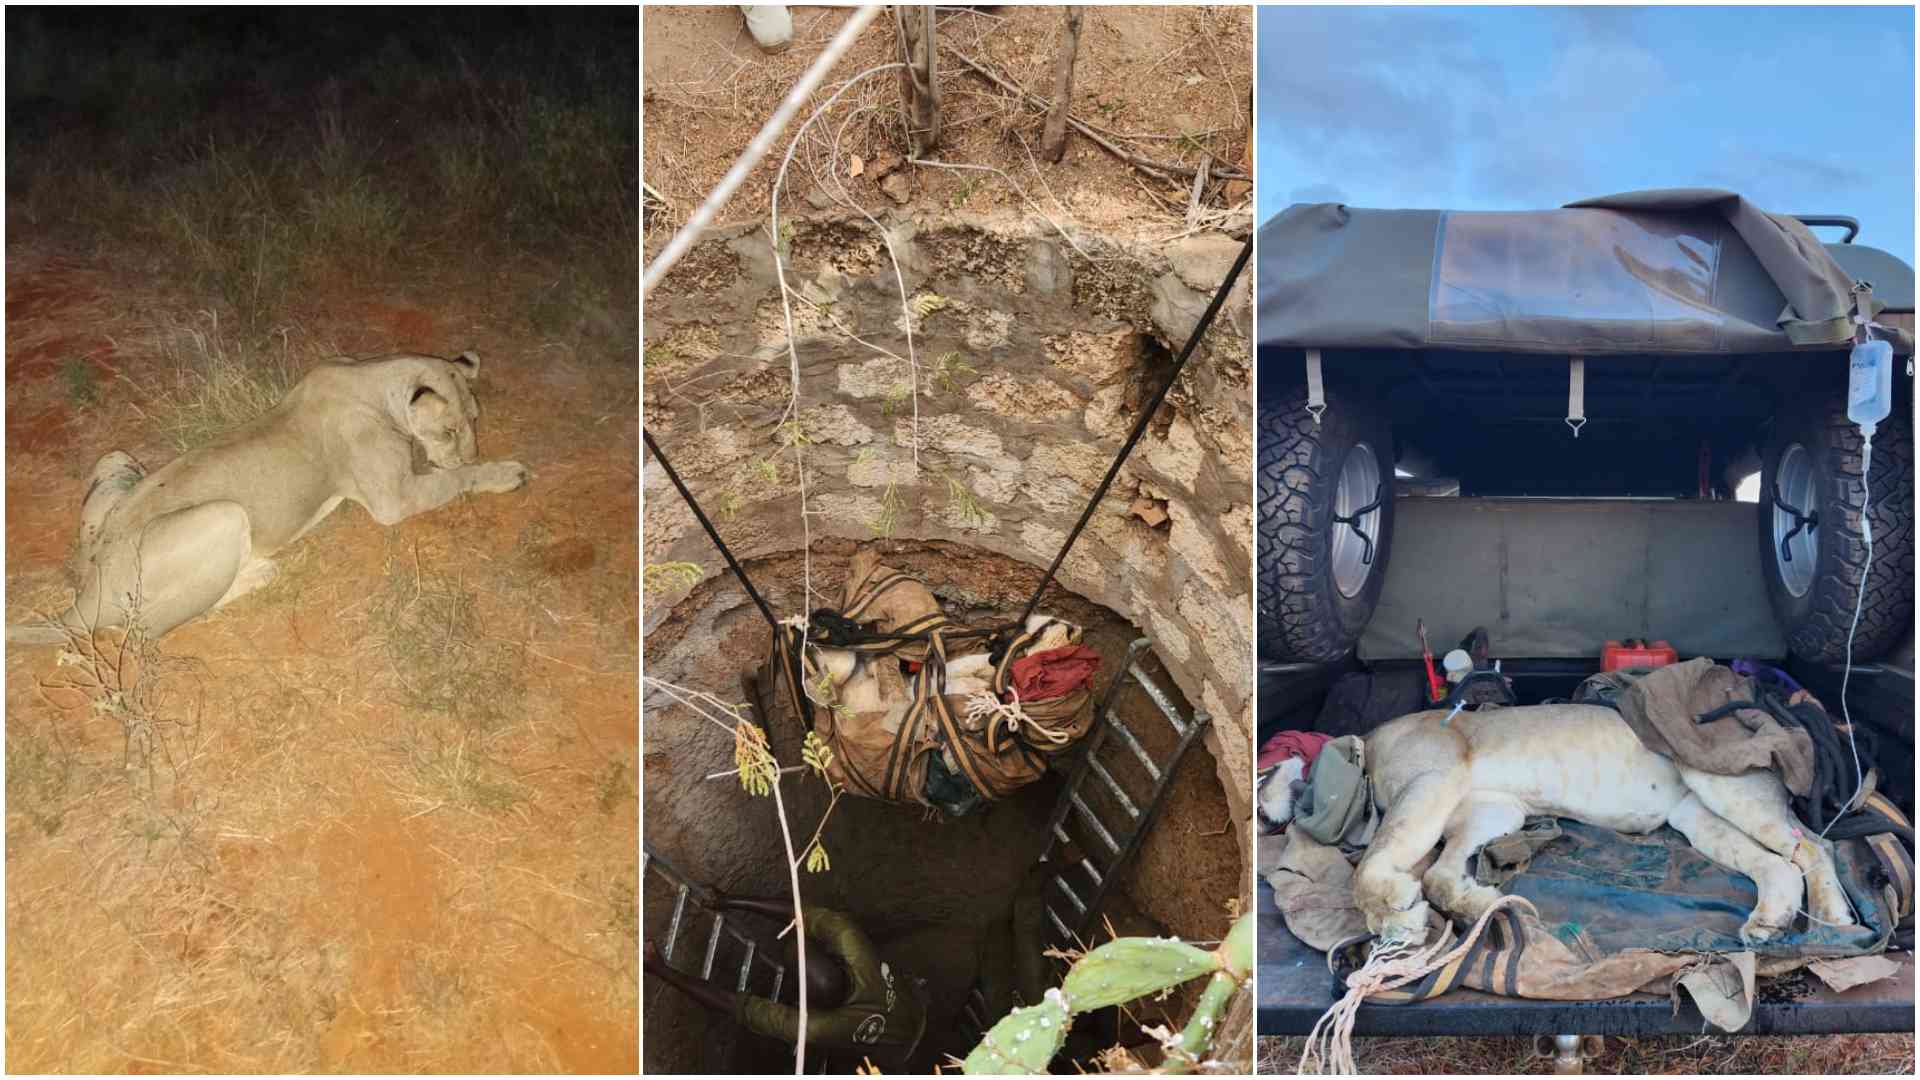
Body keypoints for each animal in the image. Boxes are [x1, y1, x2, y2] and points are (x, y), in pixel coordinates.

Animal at [7, 350, 528, 645]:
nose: (469, 452)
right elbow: (453, 482)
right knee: (142, 631)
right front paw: (505, 473)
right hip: (224, 516)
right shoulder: (392, 500)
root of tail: (88, 593)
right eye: (450, 430)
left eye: (475, 419)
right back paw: (261, 571)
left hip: (115, 459)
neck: (373, 383)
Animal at [1266, 704, 1857, 948]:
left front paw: (1396, 918)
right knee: (1778, 866)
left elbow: (1367, 870)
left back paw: (1834, 922)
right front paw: (1484, 905)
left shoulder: (1433, 781)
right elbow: (1438, 875)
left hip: (1720, 781)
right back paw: (1770, 923)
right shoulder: (1489, 808)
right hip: (1697, 817)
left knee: (1816, 846)